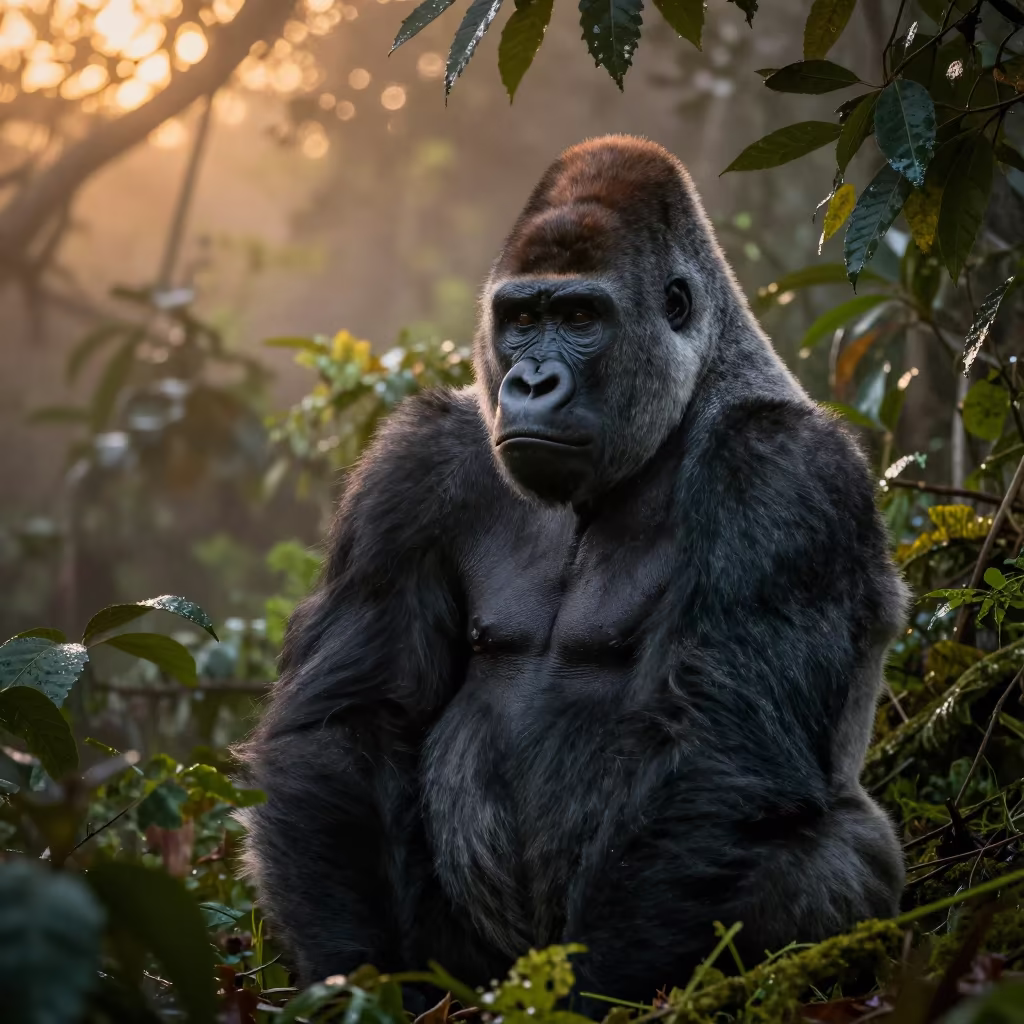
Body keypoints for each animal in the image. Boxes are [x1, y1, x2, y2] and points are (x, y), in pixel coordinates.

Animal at [237, 135, 907, 1009]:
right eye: (523, 319)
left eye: (582, 319)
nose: (531, 382)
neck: (686, 397)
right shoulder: (412, 466)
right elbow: (349, 722)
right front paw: (357, 980)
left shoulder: (784, 473)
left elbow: (722, 750)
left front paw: (593, 997)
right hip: (476, 968)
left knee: (829, 857)